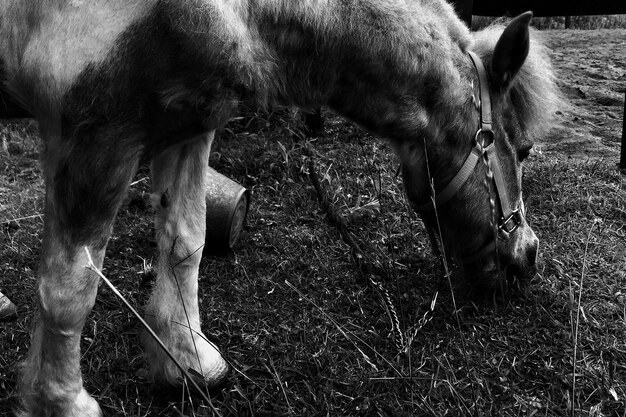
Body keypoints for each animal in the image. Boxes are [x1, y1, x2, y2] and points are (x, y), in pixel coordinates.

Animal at [0, 1, 556, 414]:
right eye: (525, 148)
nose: (528, 257)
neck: (238, 12)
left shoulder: (190, 122)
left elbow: (186, 241)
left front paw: (186, 360)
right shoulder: (95, 133)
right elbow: (70, 288)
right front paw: (62, 402)